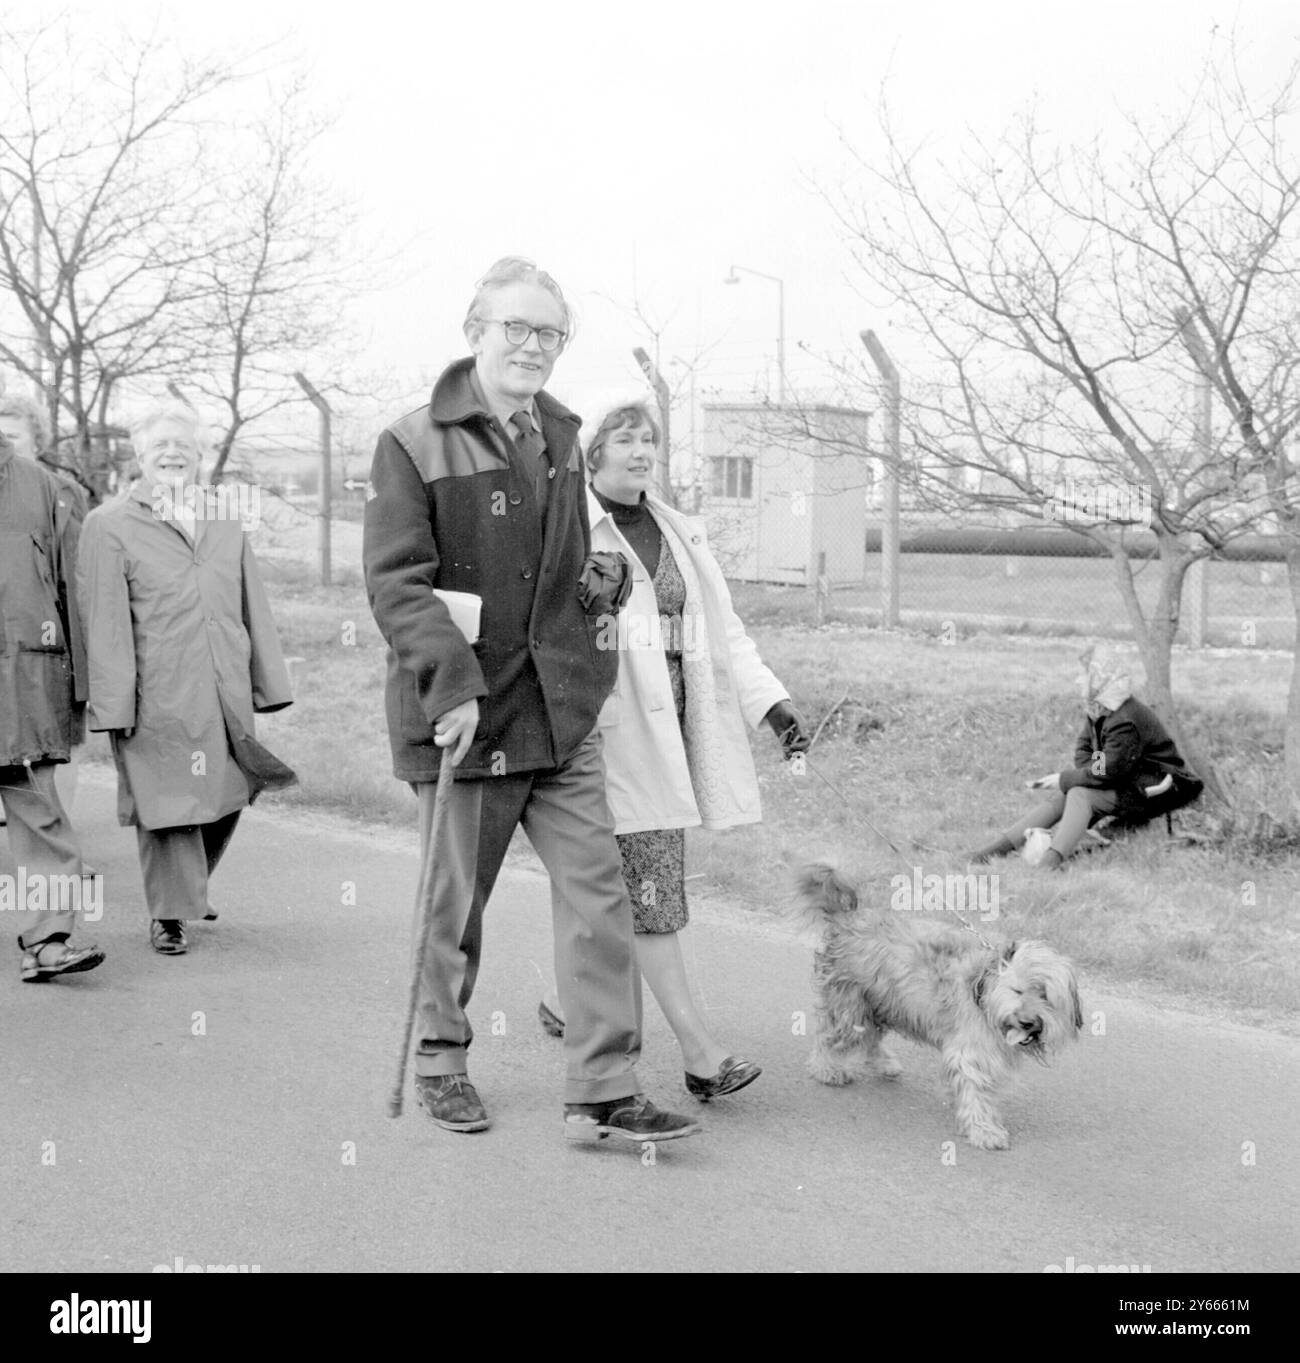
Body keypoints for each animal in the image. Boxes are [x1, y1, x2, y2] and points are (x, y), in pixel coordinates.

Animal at [795, 866, 1079, 1144]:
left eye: (1045, 997)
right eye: (1017, 989)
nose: (1027, 1022)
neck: (984, 990)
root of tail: (847, 921)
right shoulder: (969, 1052)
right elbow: (975, 1089)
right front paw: (984, 1129)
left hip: (879, 1002)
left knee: (869, 1037)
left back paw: (884, 1063)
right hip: (850, 1004)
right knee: (832, 1036)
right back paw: (827, 1068)